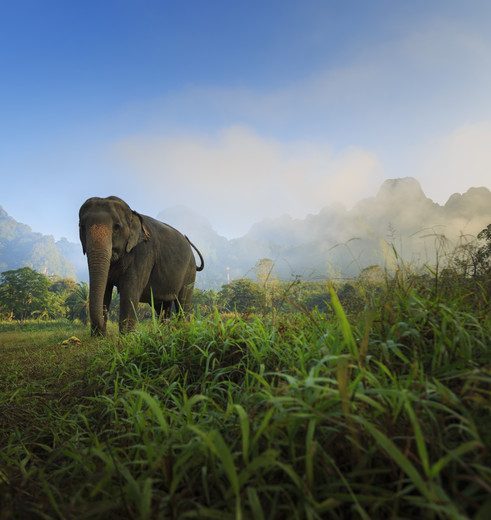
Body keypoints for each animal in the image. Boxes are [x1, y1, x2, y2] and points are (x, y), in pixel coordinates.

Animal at [80, 195, 204, 334]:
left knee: (183, 302)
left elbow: (130, 291)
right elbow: (106, 289)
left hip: (189, 272)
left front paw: (127, 337)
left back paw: (180, 330)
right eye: (82, 226)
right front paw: (98, 337)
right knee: (162, 306)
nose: (104, 331)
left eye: (117, 227)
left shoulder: (143, 254)